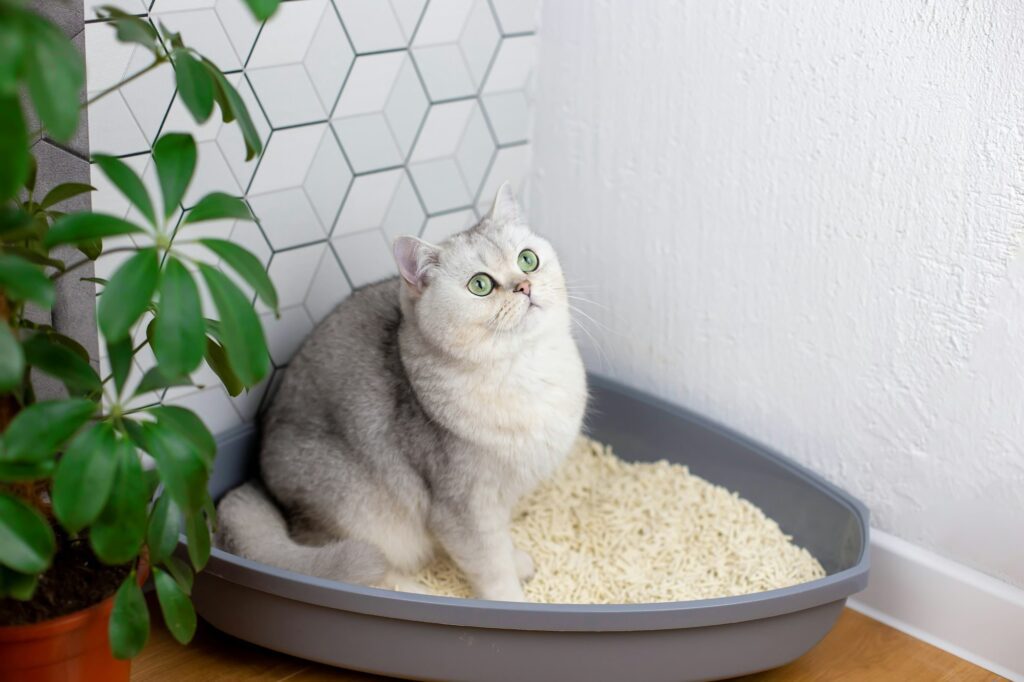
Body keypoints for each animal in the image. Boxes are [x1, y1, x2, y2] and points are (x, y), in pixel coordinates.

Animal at [216, 182, 585, 602]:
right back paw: (410, 591)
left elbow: (501, 545)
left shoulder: (500, 500)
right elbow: (491, 565)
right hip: (358, 512)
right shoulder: (464, 506)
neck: (523, 366)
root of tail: (260, 482)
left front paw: (518, 560)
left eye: (527, 260)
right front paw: (511, 602)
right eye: (480, 285)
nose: (524, 286)